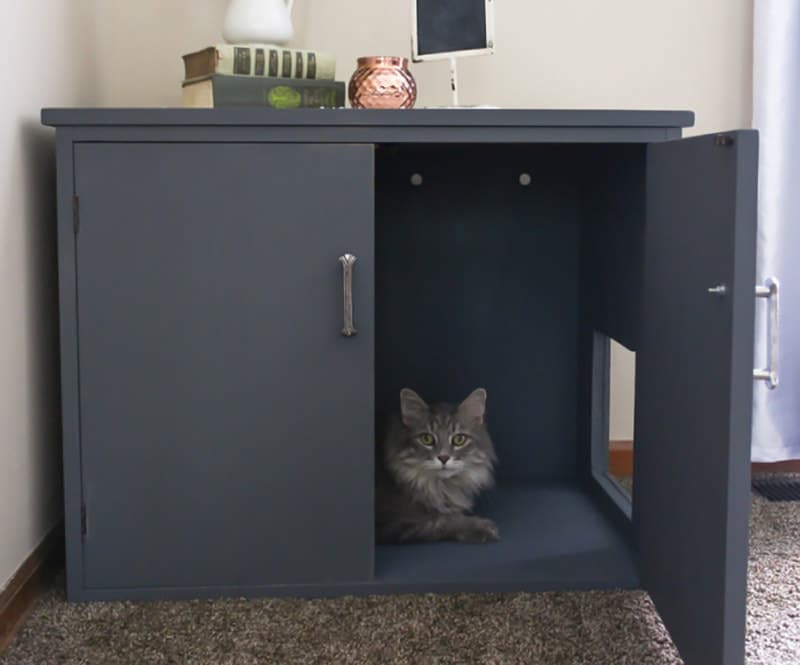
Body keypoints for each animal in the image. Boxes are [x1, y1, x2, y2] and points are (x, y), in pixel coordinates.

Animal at [376, 386, 500, 544]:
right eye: (426, 439)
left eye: (459, 439)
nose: (443, 457)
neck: (439, 487)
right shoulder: (397, 520)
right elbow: (442, 520)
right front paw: (482, 526)